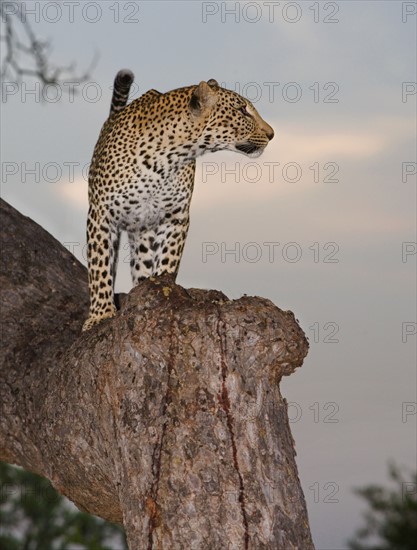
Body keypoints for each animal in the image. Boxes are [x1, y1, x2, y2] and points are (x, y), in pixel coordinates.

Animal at [83, 67, 274, 330]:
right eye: (242, 110)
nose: (272, 134)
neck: (167, 159)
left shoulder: (176, 217)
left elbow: (167, 259)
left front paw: (162, 288)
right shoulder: (101, 214)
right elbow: (99, 266)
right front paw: (100, 314)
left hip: (143, 232)